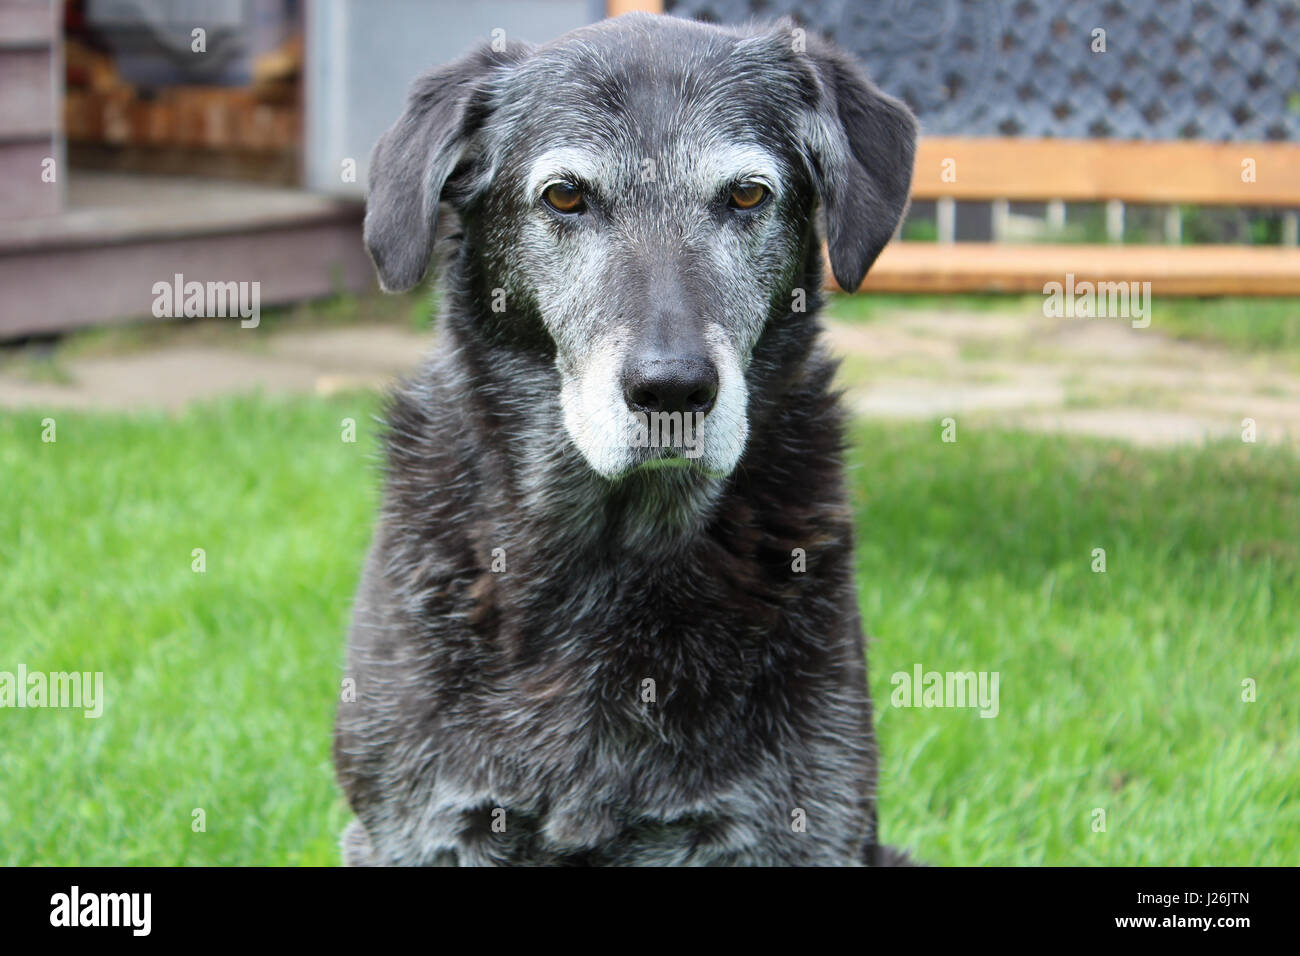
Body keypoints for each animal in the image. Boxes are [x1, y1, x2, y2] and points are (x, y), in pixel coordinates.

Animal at [338, 11, 925, 868]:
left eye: (746, 193)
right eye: (565, 195)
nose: (672, 391)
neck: (611, 553)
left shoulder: (800, 826)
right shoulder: (419, 827)